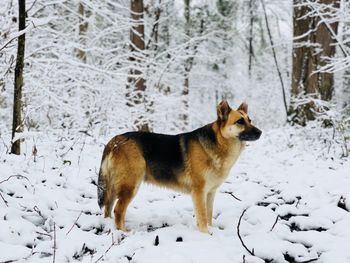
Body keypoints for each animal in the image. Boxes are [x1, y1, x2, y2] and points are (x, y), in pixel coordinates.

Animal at [97, 100, 262, 233]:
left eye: (250, 120)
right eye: (240, 121)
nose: (260, 132)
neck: (218, 142)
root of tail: (115, 140)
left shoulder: (210, 193)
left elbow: (208, 215)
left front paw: (211, 230)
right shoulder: (199, 192)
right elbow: (202, 217)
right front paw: (206, 235)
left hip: (115, 188)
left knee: (108, 208)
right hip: (130, 186)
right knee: (118, 210)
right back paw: (124, 232)